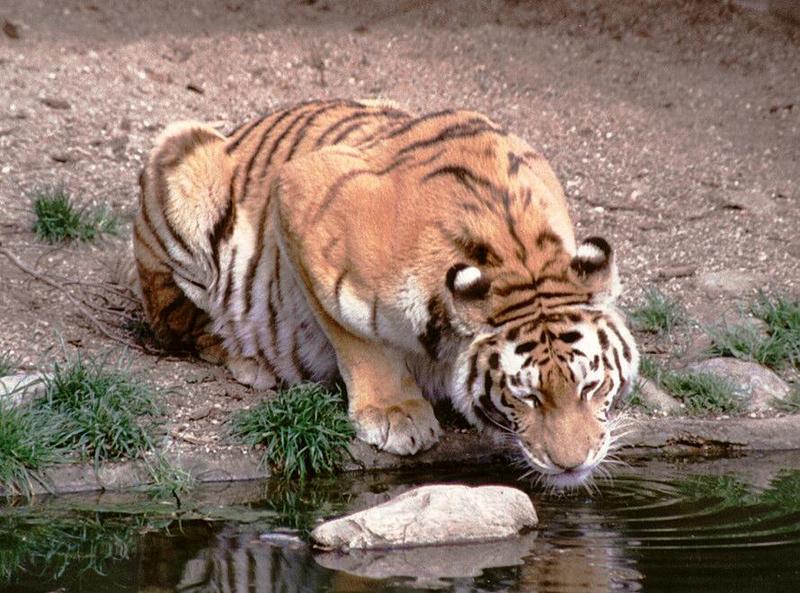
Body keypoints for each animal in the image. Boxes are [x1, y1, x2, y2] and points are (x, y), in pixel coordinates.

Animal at [134, 98, 640, 486]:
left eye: (591, 386)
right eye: (527, 396)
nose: (572, 464)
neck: (520, 257)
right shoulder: (301, 195)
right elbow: (358, 338)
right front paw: (395, 414)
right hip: (180, 154)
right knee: (176, 322)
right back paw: (250, 360)